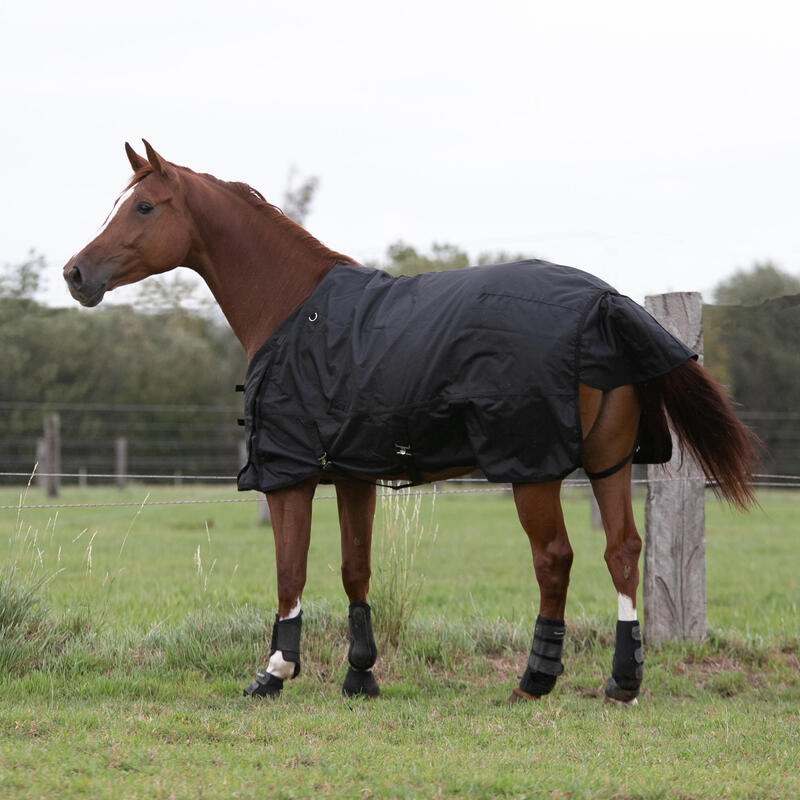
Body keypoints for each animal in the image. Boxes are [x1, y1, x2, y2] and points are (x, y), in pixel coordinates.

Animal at [63, 141, 759, 705]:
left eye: (144, 207)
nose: (75, 273)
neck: (294, 308)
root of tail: (605, 300)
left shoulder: (290, 476)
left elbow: (291, 570)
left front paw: (275, 672)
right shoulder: (352, 473)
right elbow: (355, 568)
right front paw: (360, 675)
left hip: (533, 469)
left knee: (554, 558)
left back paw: (534, 680)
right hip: (608, 462)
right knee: (623, 552)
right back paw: (622, 681)